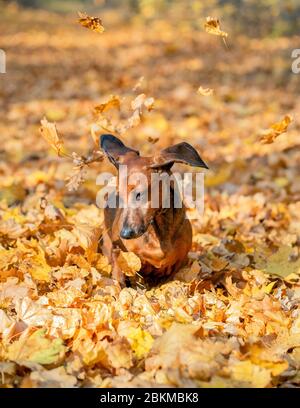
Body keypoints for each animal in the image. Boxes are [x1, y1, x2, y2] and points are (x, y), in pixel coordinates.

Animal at [99, 135, 207, 286]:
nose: (124, 234)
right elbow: (120, 277)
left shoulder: (180, 263)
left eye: (139, 194)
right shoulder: (119, 252)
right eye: (119, 197)